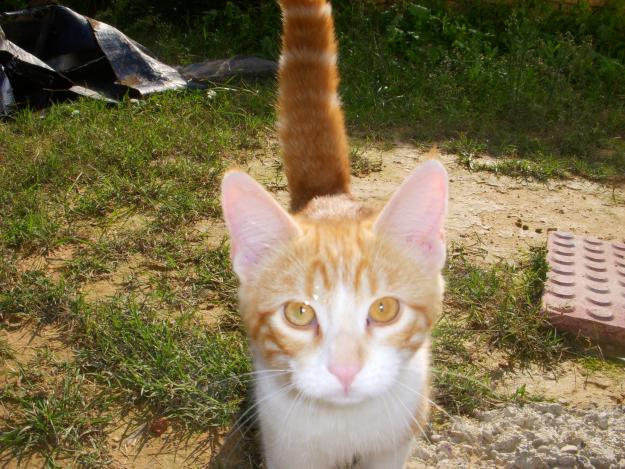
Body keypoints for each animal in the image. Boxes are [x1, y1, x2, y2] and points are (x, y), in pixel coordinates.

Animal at [222, 0, 446, 468]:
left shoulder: (395, 441)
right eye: (299, 313)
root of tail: (328, 195)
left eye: (384, 309)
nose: (345, 370)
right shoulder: (286, 447)